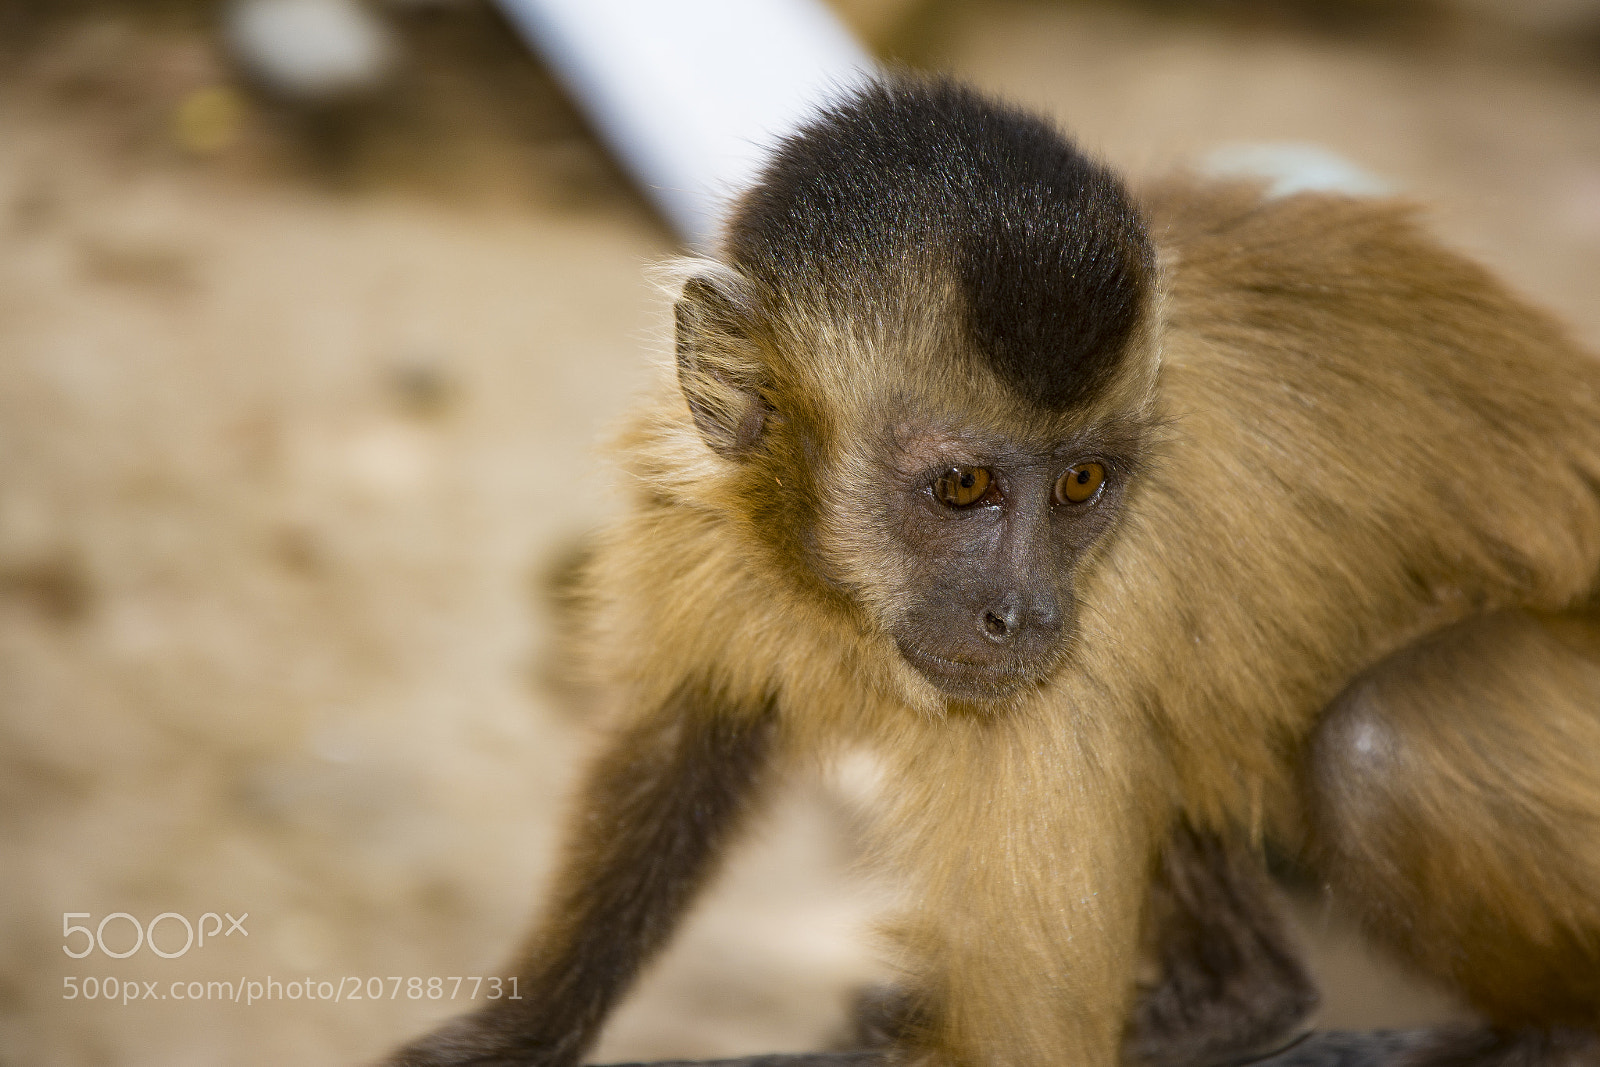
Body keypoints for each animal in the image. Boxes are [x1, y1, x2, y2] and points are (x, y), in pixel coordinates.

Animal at [382, 76, 1600, 1067]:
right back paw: (1241, 1004)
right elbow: (692, 726)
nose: (1023, 611)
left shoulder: (1094, 633)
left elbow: (1025, 1032)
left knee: (1379, 742)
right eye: (963, 487)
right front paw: (517, 1032)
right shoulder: (696, 497)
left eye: (1082, 485)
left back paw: (1544, 1025)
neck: (839, 593)